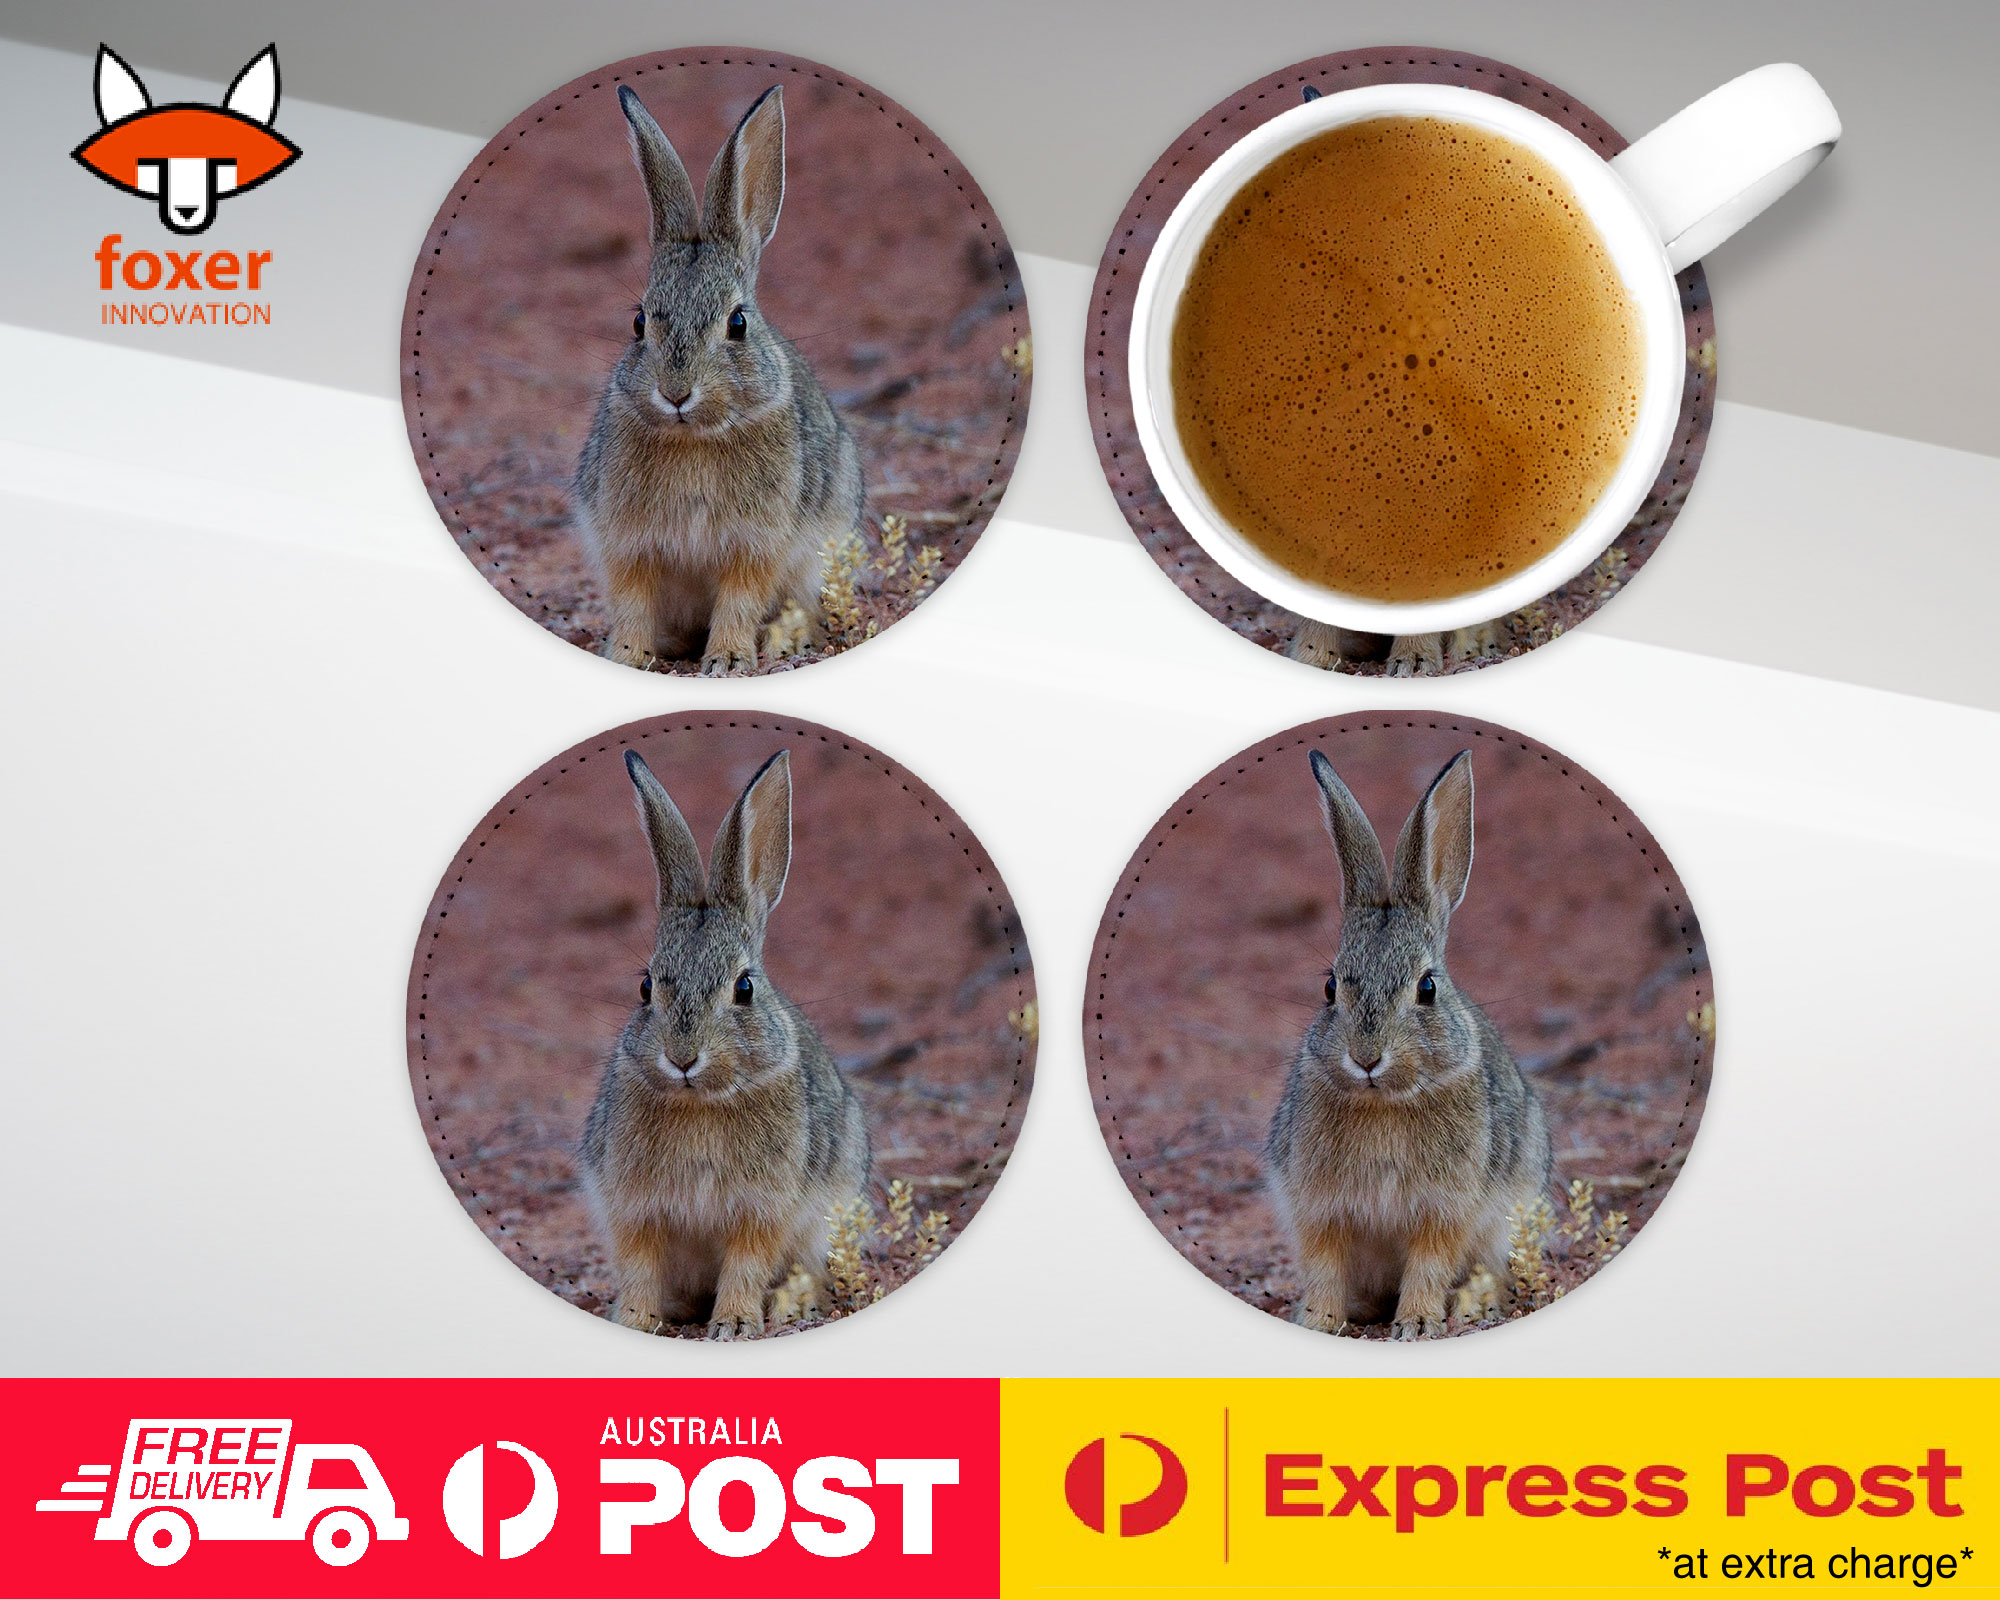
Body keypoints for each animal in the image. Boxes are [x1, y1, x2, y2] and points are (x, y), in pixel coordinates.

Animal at [572, 84, 864, 676]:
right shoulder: (627, 541)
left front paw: (728, 659)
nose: (676, 393)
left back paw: (785, 643)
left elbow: (740, 598)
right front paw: (628, 655)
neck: (695, 438)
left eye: (738, 323)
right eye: (639, 322)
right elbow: (632, 599)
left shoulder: (757, 544)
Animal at [578, 747, 870, 1338]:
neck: (701, 1103)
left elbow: (746, 1263)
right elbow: (639, 1264)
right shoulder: (633, 1207)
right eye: (646, 987)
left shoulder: (763, 1210)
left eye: (744, 988)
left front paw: (734, 1324)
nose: (682, 1058)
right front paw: (635, 1320)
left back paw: (792, 1308)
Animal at [1265, 748, 1551, 1339]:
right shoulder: (1318, 1208)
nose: (1366, 1058)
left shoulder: (1446, 1210)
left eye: (1427, 988)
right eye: (1330, 987)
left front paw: (1417, 1323)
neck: (1385, 1103)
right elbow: (1324, 1264)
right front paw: (1319, 1320)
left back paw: (1475, 1308)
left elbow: (1429, 1263)